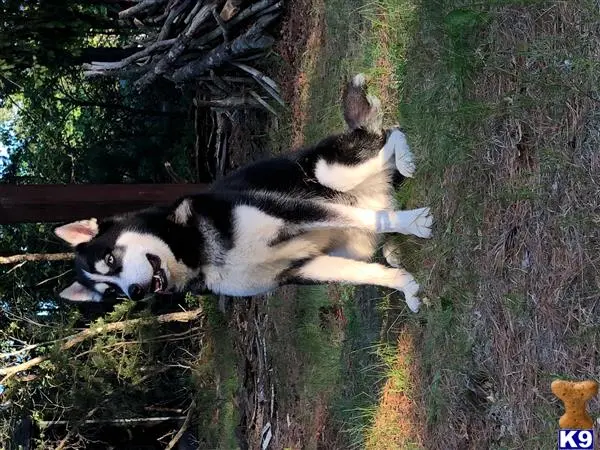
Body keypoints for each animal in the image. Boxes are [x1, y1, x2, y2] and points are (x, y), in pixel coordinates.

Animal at [55, 74, 432, 312]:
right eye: (111, 292)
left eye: (110, 260)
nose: (133, 293)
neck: (198, 249)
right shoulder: (301, 268)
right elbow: (370, 276)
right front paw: (405, 286)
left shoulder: (296, 210)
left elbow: (377, 219)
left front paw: (412, 223)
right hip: (351, 242)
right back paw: (395, 250)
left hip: (329, 172)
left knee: (388, 136)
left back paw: (403, 160)